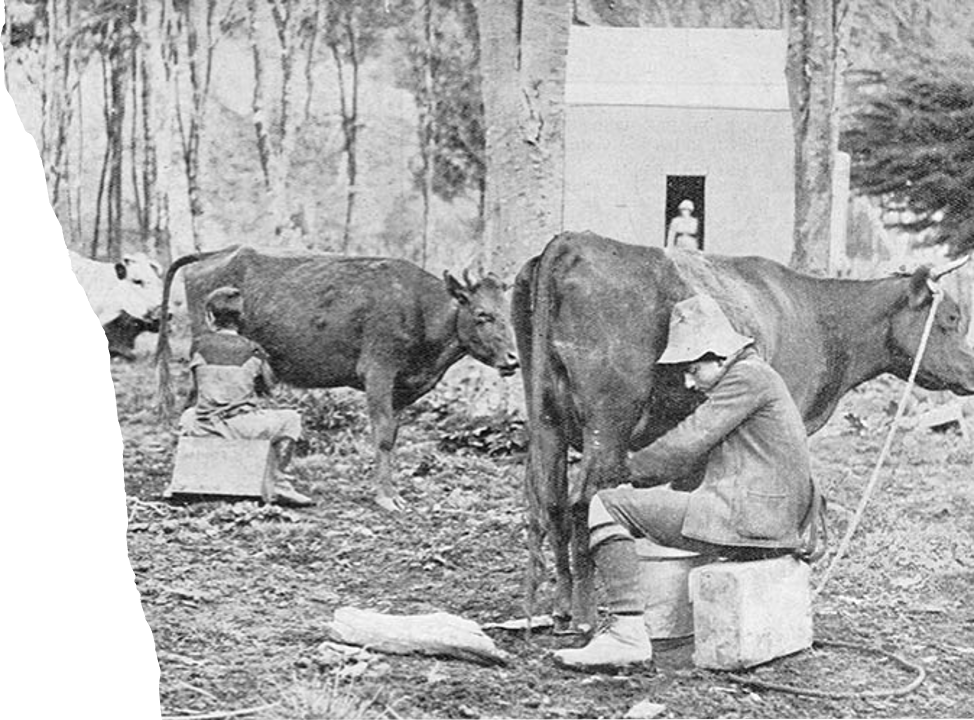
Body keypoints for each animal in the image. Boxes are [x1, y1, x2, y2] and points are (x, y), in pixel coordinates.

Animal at [155, 245, 520, 511]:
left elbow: (392, 436)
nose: (513, 360)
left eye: (507, 313)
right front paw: (386, 497)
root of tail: (214, 253)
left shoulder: (403, 388)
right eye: (482, 315)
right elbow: (382, 435)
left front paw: (391, 491)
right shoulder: (378, 372)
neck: (421, 310)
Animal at [513, 231, 974, 632]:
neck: (820, 319)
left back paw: (562, 609)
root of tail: (571, 241)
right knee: (582, 499)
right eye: (951, 318)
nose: (972, 372)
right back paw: (586, 613)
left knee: (552, 501)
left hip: (546, 419)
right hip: (608, 418)